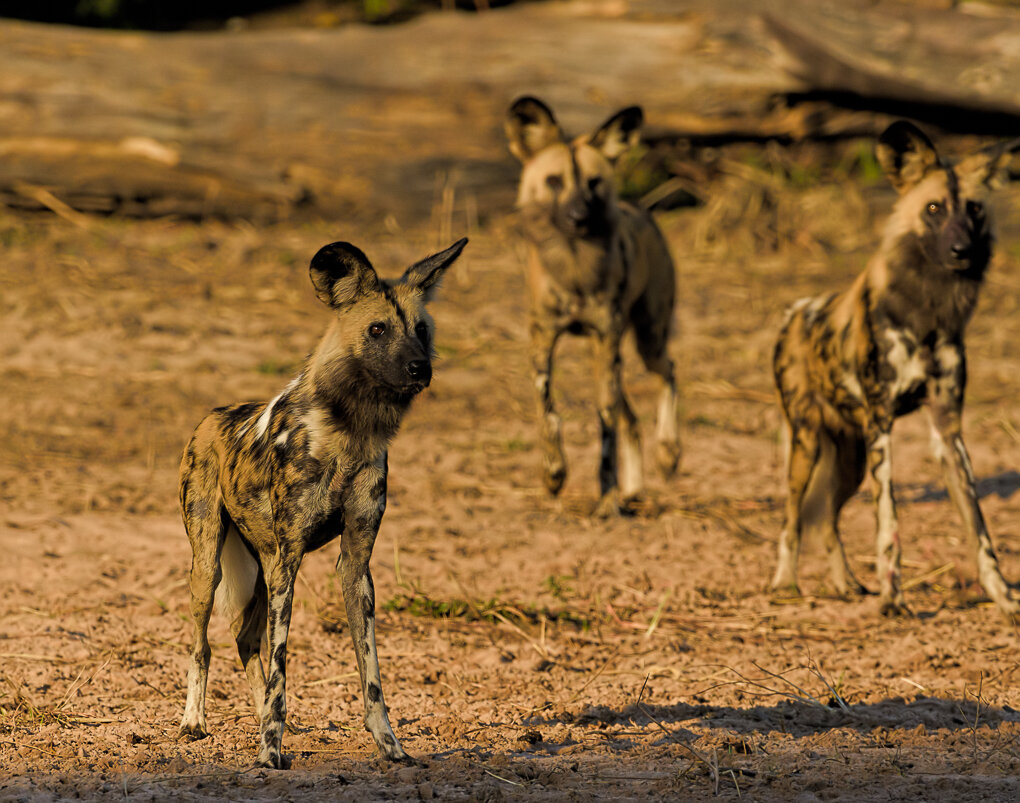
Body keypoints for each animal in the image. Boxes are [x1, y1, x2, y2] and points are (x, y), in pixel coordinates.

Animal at [178, 236, 469, 767]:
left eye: (421, 329)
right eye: (377, 329)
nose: (421, 367)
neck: (350, 432)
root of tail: (211, 417)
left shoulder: (354, 566)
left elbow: (370, 675)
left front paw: (389, 744)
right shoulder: (289, 559)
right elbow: (281, 666)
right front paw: (270, 750)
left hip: (261, 566)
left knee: (245, 639)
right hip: (210, 566)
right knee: (203, 644)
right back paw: (194, 722)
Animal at [505, 97, 681, 518]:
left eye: (594, 183)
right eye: (554, 182)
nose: (578, 218)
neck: (575, 268)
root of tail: (641, 208)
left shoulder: (606, 340)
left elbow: (604, 427)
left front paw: (605, 498)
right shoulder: (542, 344)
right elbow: (548, 411)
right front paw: (554, 475)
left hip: (646, 342)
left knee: (667, 373)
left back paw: (668, 453)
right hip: (609, 357)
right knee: (629, 416)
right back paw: (633, 488)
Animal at [771, 120, 1020, 620]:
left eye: (975, 209)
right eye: (933, 209)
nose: (962, 251)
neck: (930, 313)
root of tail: (795, 312)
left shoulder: (947, 432)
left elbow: (980, 532)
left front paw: (1003, 598)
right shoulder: (882, 426)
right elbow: (889, 522)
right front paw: (894, 600)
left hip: (849, 461)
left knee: (826, 520)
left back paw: (845, 584)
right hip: (808, 444)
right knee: (792, 518)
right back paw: (785, 584)